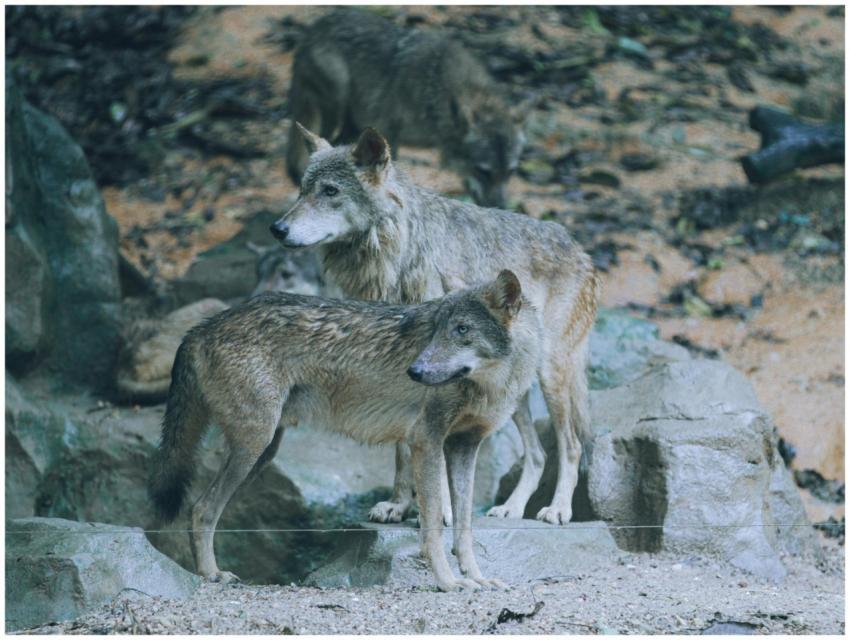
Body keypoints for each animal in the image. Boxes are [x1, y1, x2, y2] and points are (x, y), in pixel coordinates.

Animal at [148, 271, 539, 592]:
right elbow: (434, 525)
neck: (490, 383)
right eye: (437, 330)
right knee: (201, 508)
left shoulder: (464, 446)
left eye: (462, 330)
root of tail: (202, 327)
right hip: (253, 446)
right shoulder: (425, 441)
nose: (414, 371)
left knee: (204, 507)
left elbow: (464, 528)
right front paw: (448, 582)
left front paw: (477, 578)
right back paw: (211, 575)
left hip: (262, 452)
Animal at [271, 126, 599, 527]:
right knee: (537, 454)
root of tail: (582, 250)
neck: (397, 253)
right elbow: (402, 448)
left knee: (571, 445)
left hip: (550, 376)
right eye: (302, 190)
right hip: (510, 392)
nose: (277, 228)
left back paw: (558, 509)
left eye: (330, 191)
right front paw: (398, 505)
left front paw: (440, 512)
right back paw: (510, 509)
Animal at [285, 8, 525, 208]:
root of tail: (310, 32)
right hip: (338, 104)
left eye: (510, 172)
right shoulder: (388, 132)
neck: (434, 89)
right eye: (484, 172)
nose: (500, 207)